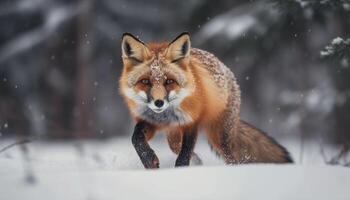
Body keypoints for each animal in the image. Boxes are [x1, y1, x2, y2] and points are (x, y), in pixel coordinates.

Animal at [119, 32, 292, 168]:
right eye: (145, 82)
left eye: (169, 81)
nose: (159, 103)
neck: (165, 115)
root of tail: (228, 71)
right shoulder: (148, 121)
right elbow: (136, 138)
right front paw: (149, 160)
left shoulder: (192, 123)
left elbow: (185, 154)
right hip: (174, 137)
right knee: (180, 148)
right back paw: (197, 162)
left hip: (221, 138)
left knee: (233, 158)